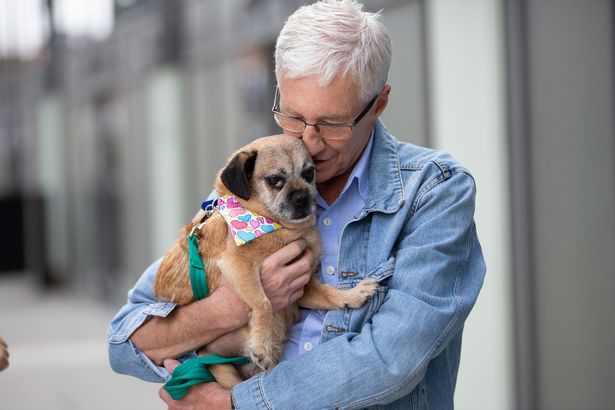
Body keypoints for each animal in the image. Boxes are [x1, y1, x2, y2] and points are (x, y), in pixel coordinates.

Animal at [152, 135, 378, 388]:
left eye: (309, 173)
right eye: (275, 181)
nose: (302, 196)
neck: (270, 222)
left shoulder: (303, 287)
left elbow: (328, 294)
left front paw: (353, 295)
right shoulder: (237, 265)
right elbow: (264, 303)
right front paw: (262, 344)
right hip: (220, 369)